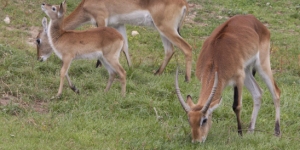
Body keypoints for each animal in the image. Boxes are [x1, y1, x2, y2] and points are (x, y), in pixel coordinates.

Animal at [39, 0, 192, 81]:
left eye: (38, 40)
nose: (39, 58)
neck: (86, 5)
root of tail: (184, 3)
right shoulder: (118, 24)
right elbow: (125, 47)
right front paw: (130, 69)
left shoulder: (101, 20)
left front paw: (97, 68)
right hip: (162, 30)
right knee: (170, 50)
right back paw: (157, 73)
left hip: (166, 29)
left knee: (187, 48)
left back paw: (187, 79)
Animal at [176, 14, 282, 143]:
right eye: (189, 120)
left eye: (204, 120)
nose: (197, 141)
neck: (215, 58)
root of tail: (252, 19)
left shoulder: (238, 78)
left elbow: (236, 106)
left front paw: (240, 134)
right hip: (247, 71)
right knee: (258, 93)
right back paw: (250, 131)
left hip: (261, 64)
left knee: (276, 92)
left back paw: (277, 132)